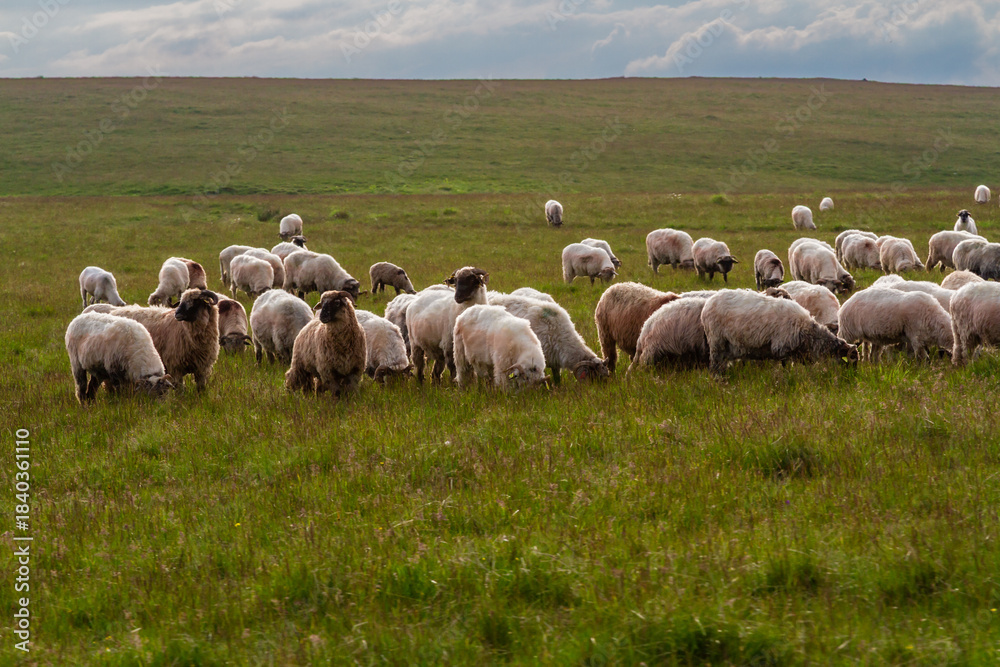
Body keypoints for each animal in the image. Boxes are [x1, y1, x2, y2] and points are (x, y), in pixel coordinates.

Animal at [701, 289, 857, 377]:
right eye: (852, 360)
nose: (853, 376)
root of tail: (708, 303)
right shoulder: (782, 347)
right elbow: (785, 365)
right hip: (716, 341)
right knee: (714, 365)